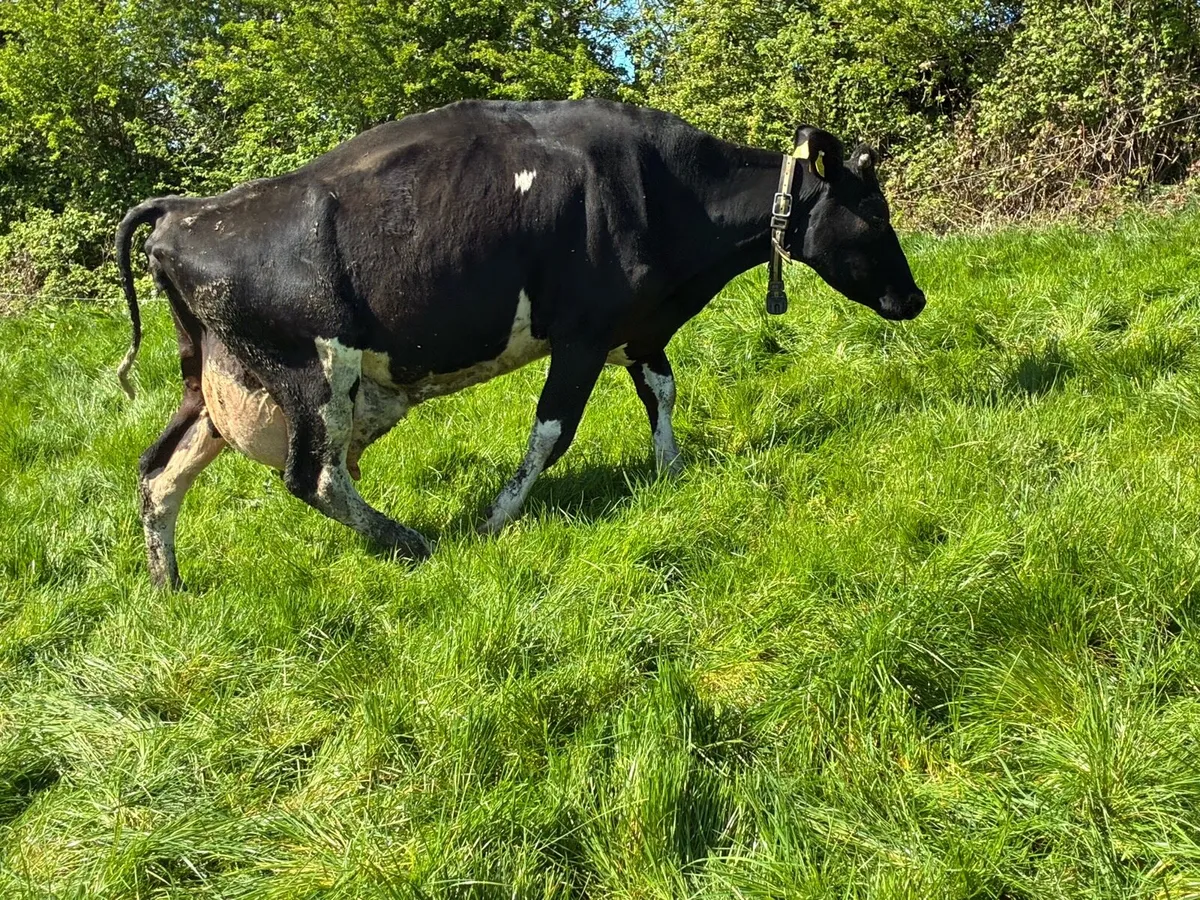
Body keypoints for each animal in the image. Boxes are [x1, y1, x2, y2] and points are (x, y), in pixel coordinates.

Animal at [115, 98, 925, 589]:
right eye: (876, 213)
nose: (915, 299)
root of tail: (187, 211)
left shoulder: (639, 324)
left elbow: (661, 390)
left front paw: (671, 469)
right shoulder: (584, 333)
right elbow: (552, 429)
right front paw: (499, 516)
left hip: (215, 384)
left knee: (159, 472)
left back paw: (169, 587)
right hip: (311, 376)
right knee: (312, 475)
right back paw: (412, 542)